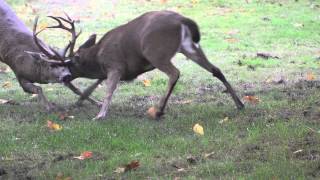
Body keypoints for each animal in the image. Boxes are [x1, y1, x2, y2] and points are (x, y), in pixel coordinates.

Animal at [35, 10, 245, 119]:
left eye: (71, 63)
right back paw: (240, 103)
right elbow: (96, 83)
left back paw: (158, 110)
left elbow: (109, 90)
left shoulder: (116, 64)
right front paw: (80, 101)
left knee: (175, 73)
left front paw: (100, 115)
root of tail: (182, 20)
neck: (98, 55)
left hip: (155, 51)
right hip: (189, 46)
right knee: (216, 70)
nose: (66, 77)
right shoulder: (113, 69)